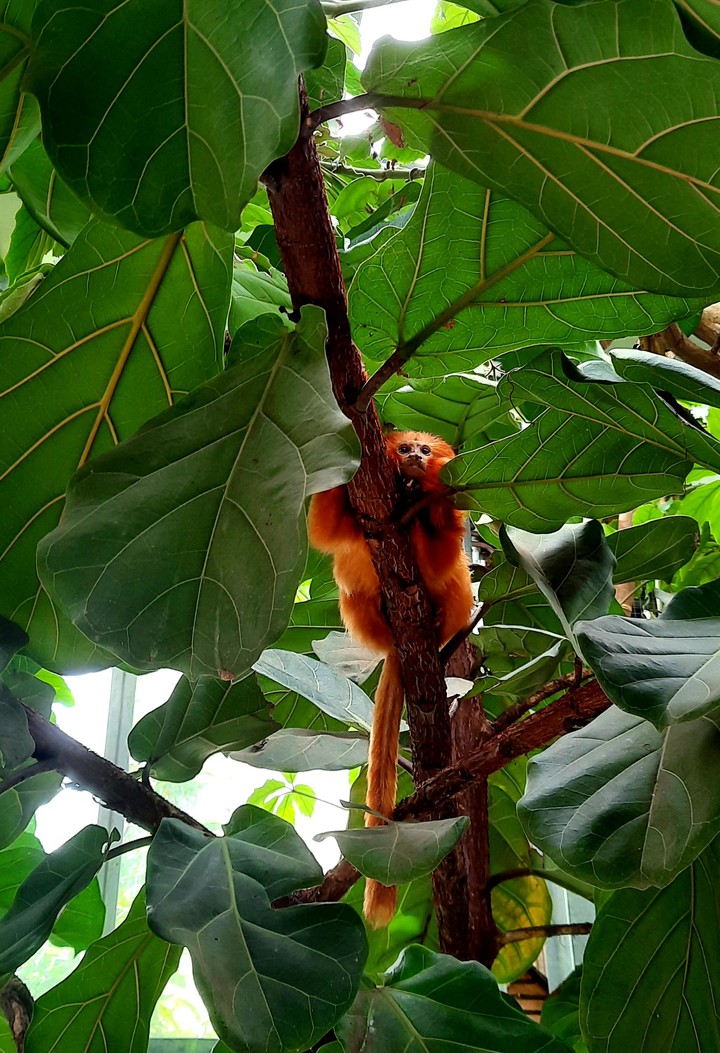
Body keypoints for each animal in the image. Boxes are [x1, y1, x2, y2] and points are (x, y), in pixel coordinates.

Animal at [308, 431, 473, 927]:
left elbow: (443, 553)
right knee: (353, 590)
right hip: (361, 613)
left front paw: (424, 501)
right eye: (405, 449)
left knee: (456, 584)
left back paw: (434, 621)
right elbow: (325, 529)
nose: (415, 458)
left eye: (425, 451)